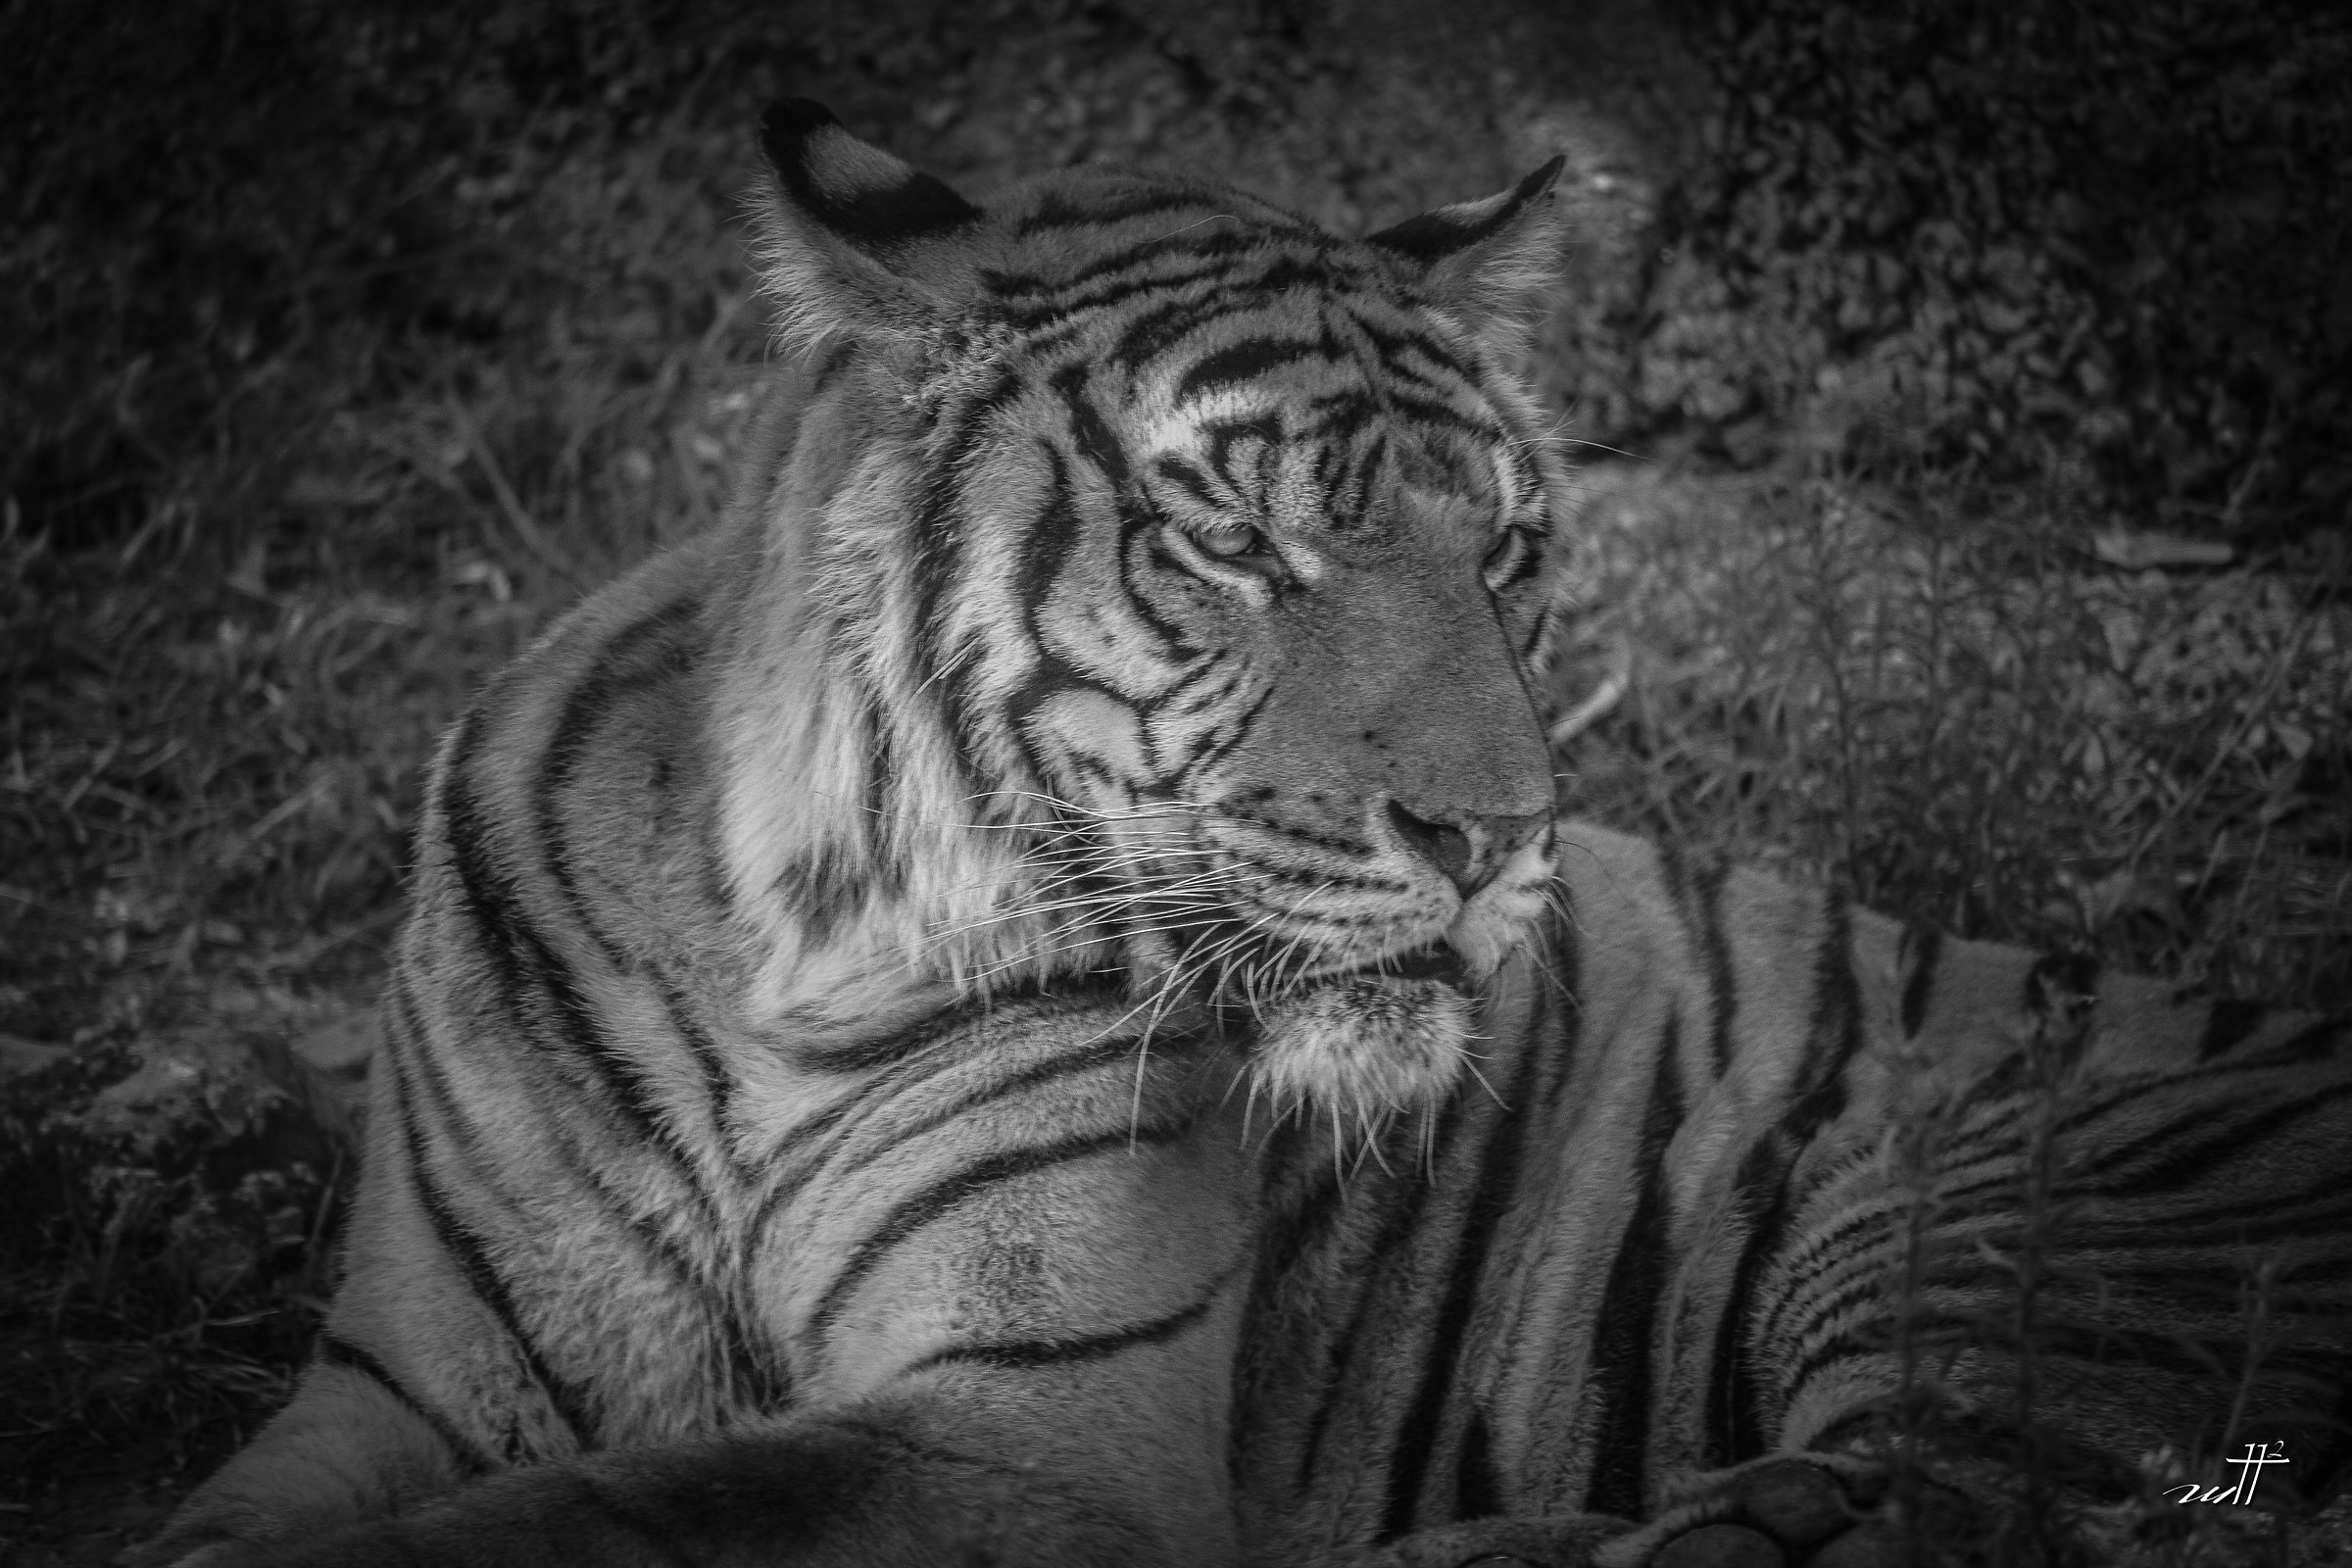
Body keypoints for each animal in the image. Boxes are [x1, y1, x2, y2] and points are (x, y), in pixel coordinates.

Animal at [129, 100, 2352, 1568]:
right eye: (1236, 540)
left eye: (1506, 548)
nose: (1497, 836)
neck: (777, 942)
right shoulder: (404, 1384)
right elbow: (244, 1521)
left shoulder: (1037, 1428)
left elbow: (593, 1515)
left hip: (1968, 1215)